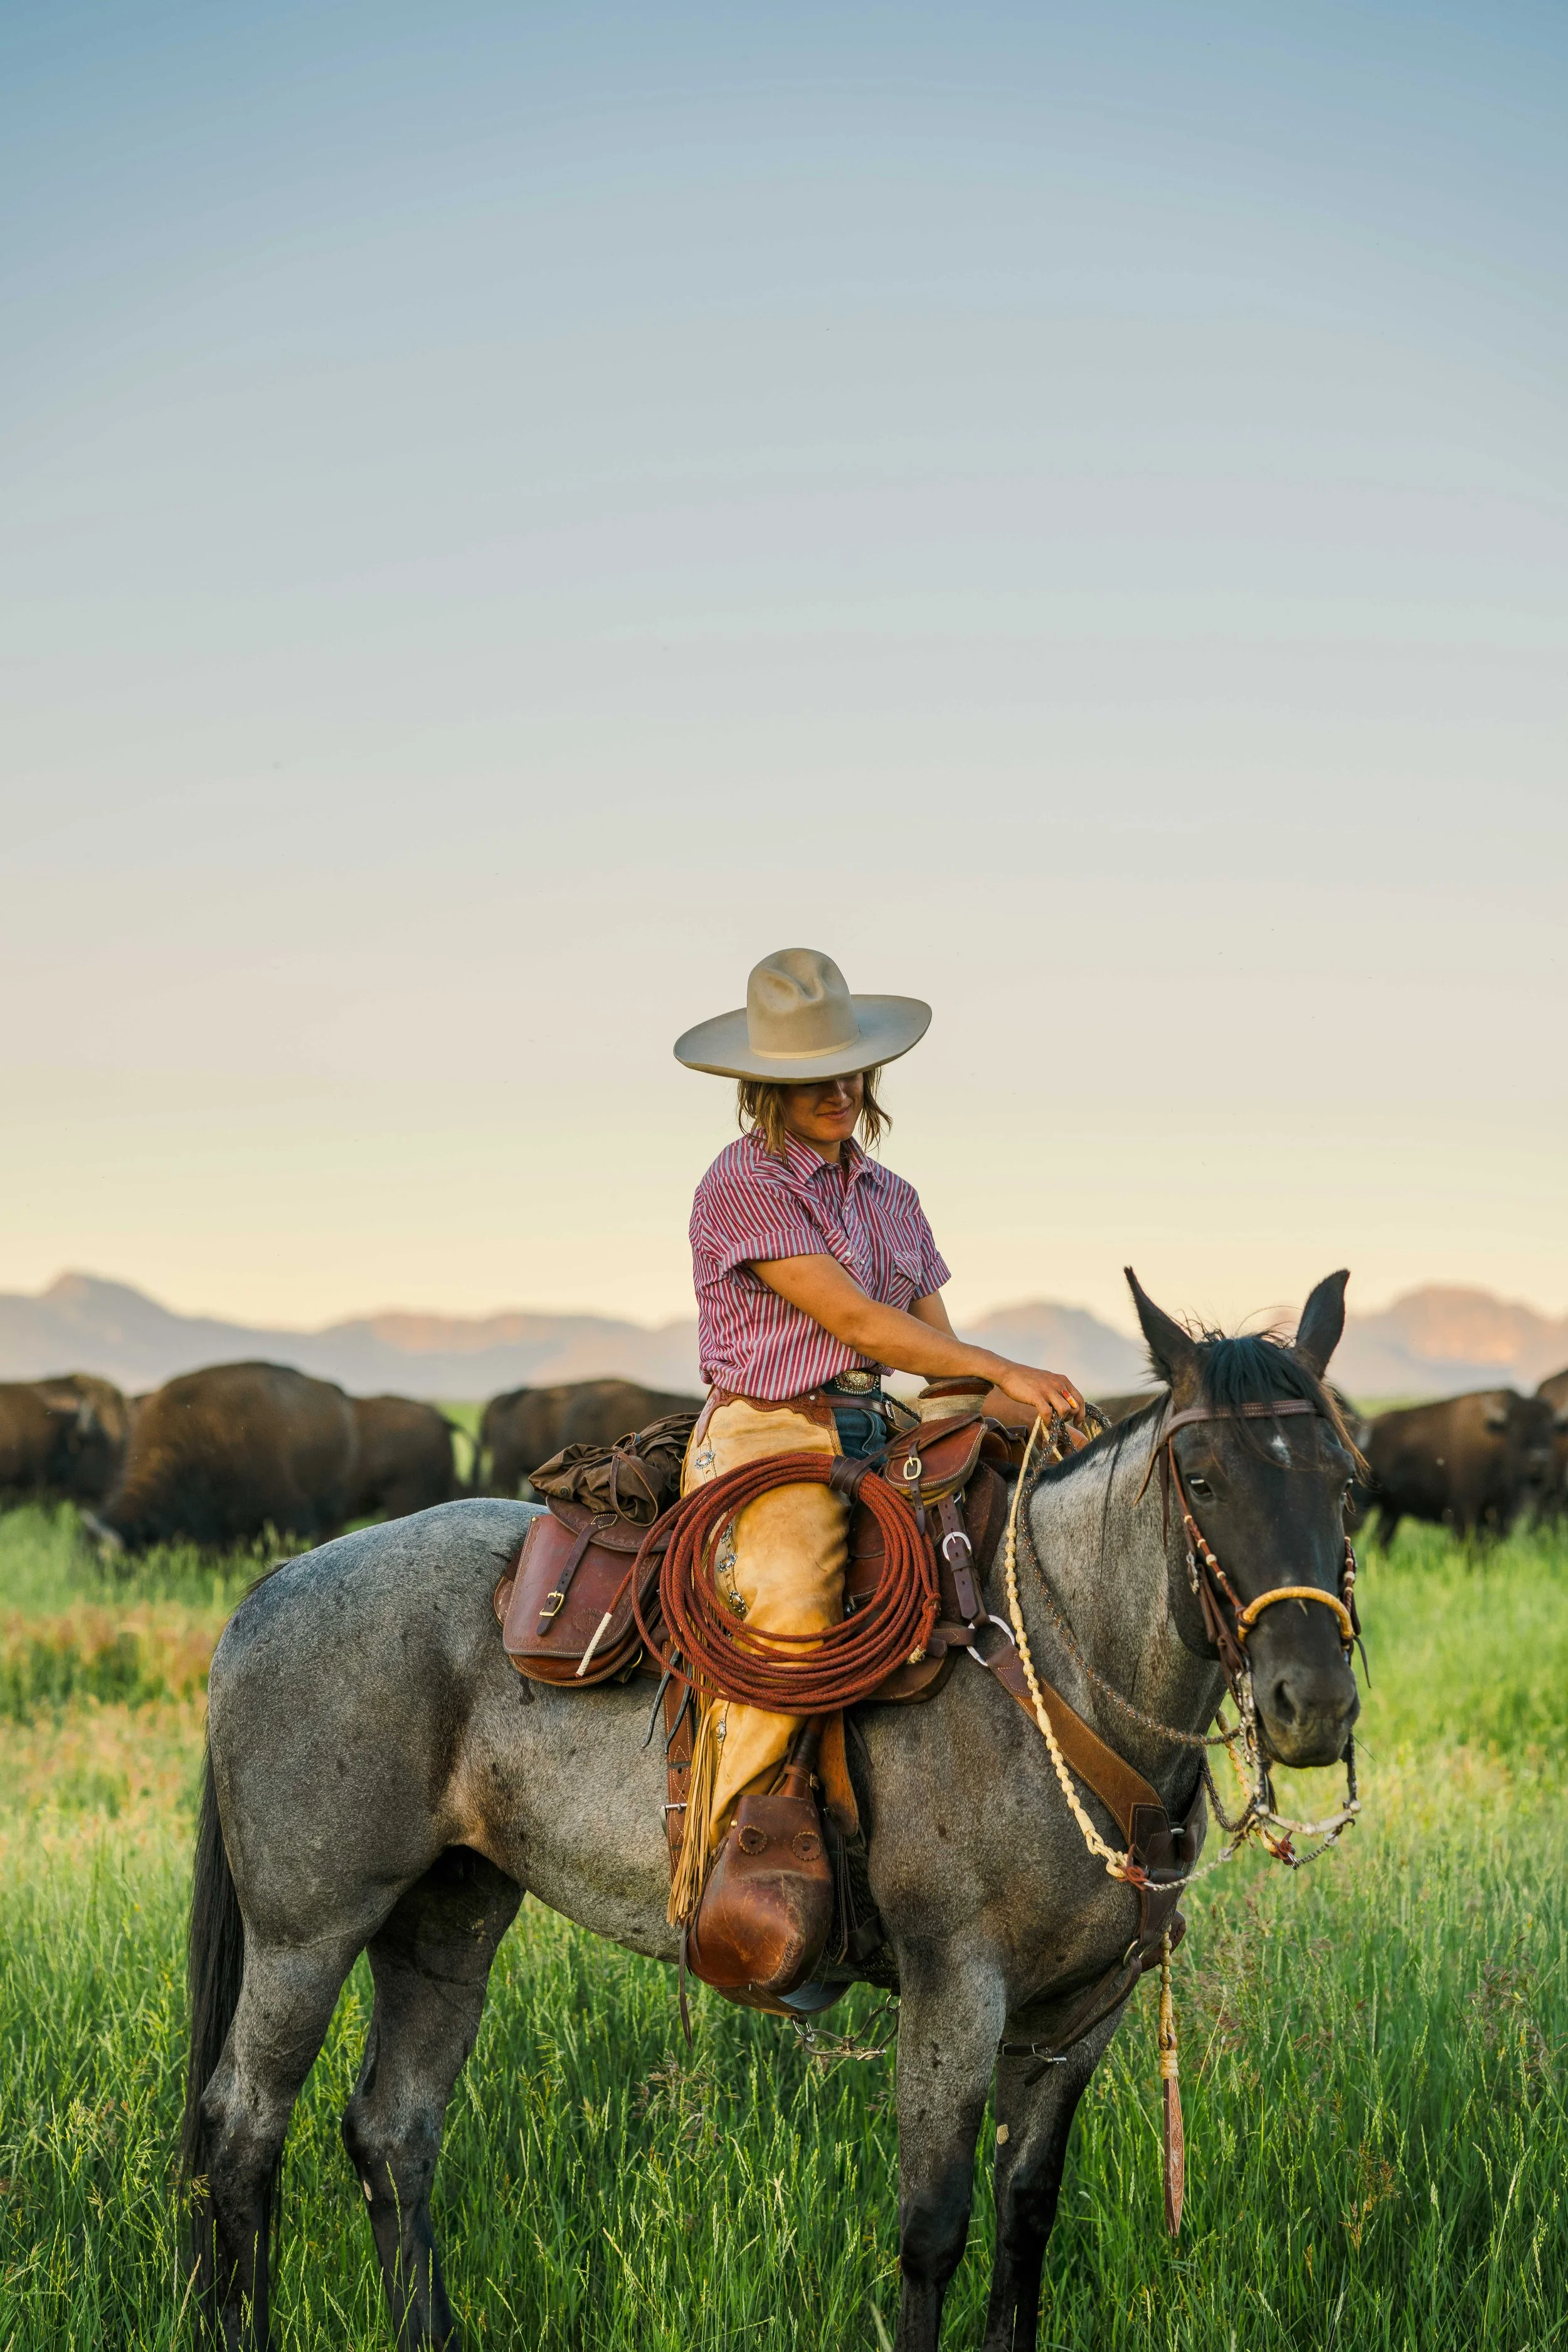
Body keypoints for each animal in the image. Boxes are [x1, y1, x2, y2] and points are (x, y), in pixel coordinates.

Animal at [182, 1270, 1363, 2350]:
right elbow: (933, 2230)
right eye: (1202, 1478)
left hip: (447, 1919)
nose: (1312, 1704)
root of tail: (275, 1583)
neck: (1056, 1671)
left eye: (1347, 1480)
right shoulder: (956, 1989)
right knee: (243, 2129)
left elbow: (1026, 2221)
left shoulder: (1080, 2014)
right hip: (306, 1933)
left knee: (394, 2135)